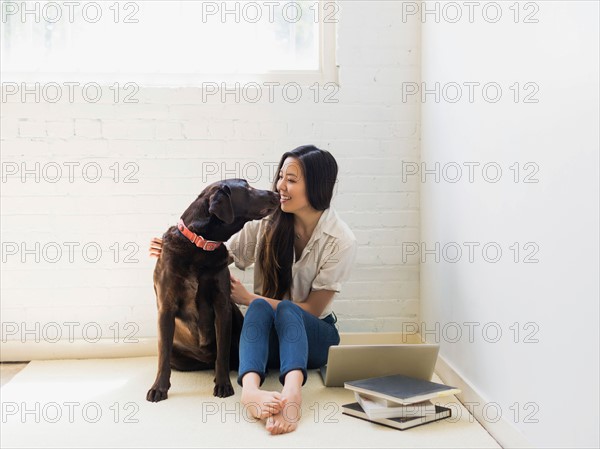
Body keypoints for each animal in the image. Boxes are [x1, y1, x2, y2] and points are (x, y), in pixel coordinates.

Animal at [149, 177, 282, 400]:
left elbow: (222, 352)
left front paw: (223, 384)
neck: (199, 245)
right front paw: (159, 388)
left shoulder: (222, 306)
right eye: (247, 188)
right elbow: (163, 355)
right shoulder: (165, 307)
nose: (277, 194)